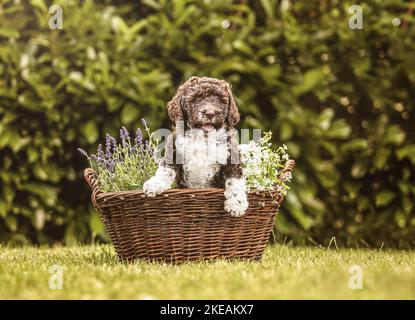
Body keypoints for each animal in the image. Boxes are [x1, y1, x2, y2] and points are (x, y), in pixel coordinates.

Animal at [143, 77, 249, 218]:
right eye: (197, 99)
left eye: (220, 100)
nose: (210, 113)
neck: (203, 137)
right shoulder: (174, 148)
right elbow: (166, 169)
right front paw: (154, 184)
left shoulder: (231, 155)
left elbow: (235, 179)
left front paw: (237, 204)